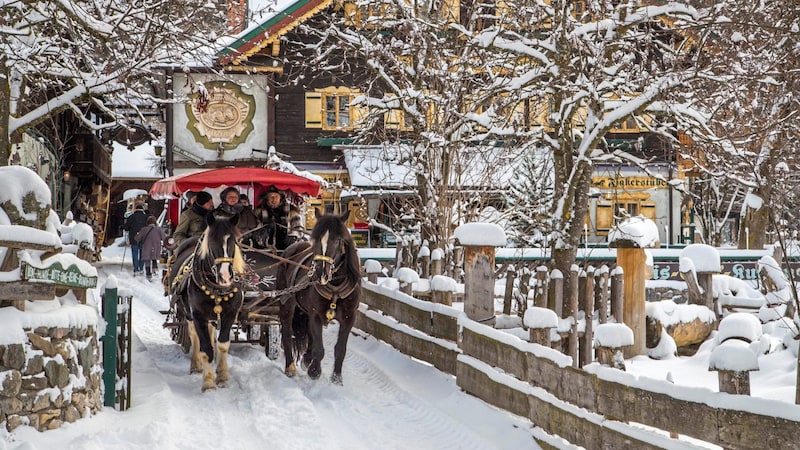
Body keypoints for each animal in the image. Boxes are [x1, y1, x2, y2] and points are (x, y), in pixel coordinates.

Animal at [168, 213, 244, 392]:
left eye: (233, 242)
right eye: (212, 242)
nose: (225, 276)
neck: (217, 287)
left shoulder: (230, 313)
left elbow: (223, 344)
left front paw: (222, 377)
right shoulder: (198, 315)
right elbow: (205, 348)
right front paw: (208, 384)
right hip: (188, 313)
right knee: (193, 335)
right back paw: (196, 365)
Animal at [276, 209, 360, 384]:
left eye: (338, 240)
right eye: (316, 239)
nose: (320, 272)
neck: (335, 286)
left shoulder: (349, 317)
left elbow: (340, 348)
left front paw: (337, 378)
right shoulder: (316, 314)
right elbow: (319, 348)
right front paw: (314, 372)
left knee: (308, 332)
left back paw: (307, 358)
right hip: (286, 303)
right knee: (287, 333)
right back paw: (290, 367)